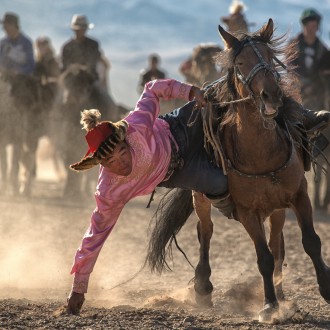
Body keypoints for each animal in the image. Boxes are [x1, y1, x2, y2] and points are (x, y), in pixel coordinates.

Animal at [147, 19, 330, 324]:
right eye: (241, 63)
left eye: (269, 58)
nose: (272, 95)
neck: (261, 152)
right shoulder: (247, 212)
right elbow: (262, 257)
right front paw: (268, 306)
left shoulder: (299, 195)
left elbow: (310, 242)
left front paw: (323, 289)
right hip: (201, 197)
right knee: (205, 232)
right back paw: (203, 287)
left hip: (277, 209)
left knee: (277, 244)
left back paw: (282, 296)